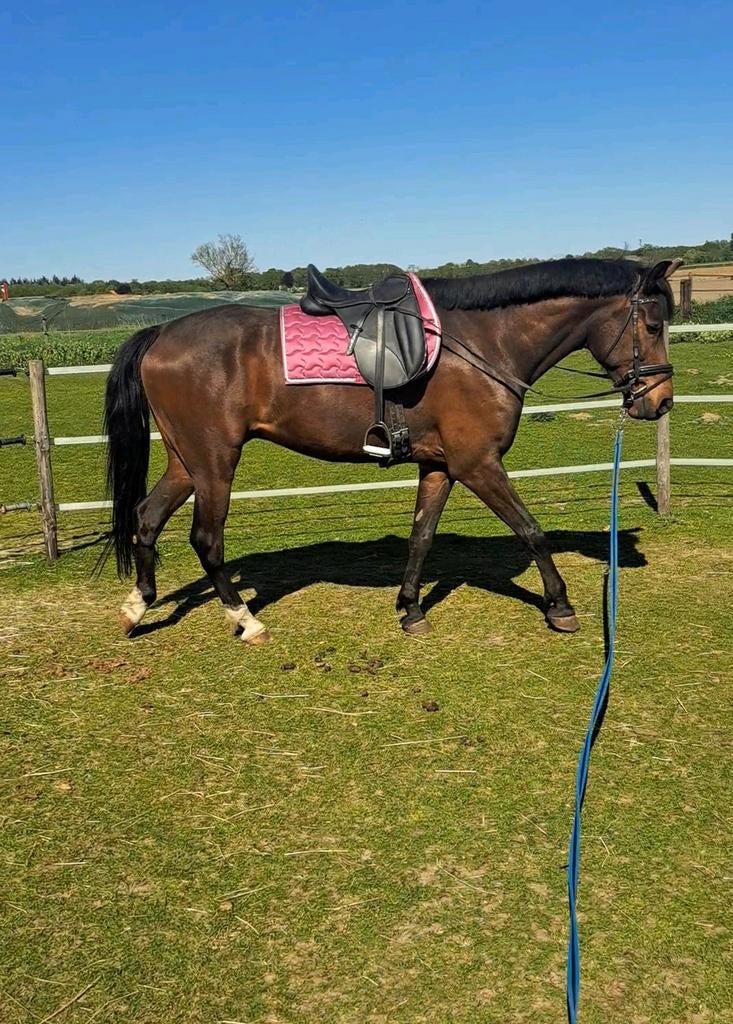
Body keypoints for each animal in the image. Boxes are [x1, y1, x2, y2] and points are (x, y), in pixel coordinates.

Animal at [102, 257, 677, 645]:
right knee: (206, 540)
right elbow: (531, 530)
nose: (661, 401)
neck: (483, 341)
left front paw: (410, 608)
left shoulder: (440, 466)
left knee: (147, 517)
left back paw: (137, 607)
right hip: (214, 462)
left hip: (186, 462)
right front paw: (559, 605)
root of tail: (159, 333)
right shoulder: (478, 464)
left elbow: (421, 537)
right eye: (653, 324)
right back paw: (245, 620)